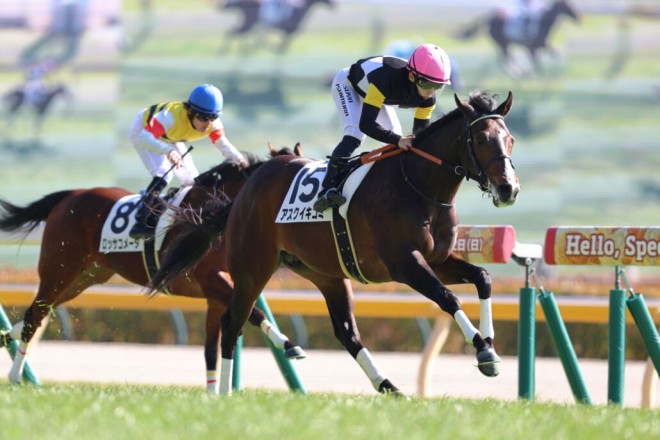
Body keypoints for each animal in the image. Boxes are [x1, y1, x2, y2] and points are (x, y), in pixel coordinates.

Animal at [0, 143, 305, 393]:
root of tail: (71, 195)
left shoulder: (216, 293)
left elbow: (211, 348)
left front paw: (212, 394)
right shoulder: (211, 280)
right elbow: (253, 313)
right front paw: (287, 343)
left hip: (84, 277)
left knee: (42, 311)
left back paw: (7, 338)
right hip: (58, 270)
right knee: (35, 314)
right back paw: (15, 376)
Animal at [150, 90, 519, 395]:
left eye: (510, 139)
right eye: (482, 138)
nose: (508, 189)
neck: (417, 185)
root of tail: (245, 189)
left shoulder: (437, 259)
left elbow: (483, 277)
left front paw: (488, 343)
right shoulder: (405, 264)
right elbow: (448, 298)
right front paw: (485, 352)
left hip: (326, 274)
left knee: (346, 332)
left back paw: (388, 386)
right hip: (253, 268)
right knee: (232, 324)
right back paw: (224, 394)